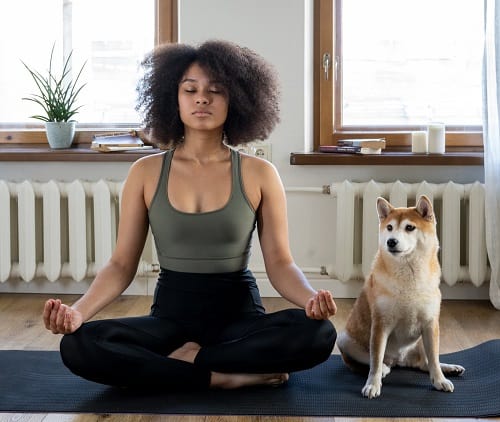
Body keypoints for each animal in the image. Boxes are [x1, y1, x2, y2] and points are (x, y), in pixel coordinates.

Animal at [336, 195, 464, 398]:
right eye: (389, 227)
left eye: (409, 227)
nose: (391, 241)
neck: (409, 276)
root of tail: (399, 360)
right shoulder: (380, 324)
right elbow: (375, 361)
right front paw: (373, 384)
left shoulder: (430, 324)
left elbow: (434, 360)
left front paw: (440, 380)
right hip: (344, 339)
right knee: (373, 362)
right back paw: (384, 369)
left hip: (421, 341)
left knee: (425, 363)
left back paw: (449, 368)